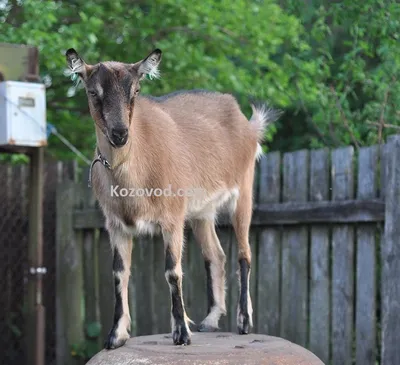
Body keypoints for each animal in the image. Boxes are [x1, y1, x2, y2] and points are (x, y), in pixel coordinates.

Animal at [65, 47, 278, 346]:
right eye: (93, 91)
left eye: (136, 90)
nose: (120, 134)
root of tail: (248, 124)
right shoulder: (116, 224)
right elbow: (119, 273)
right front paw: (116, 335)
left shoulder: (173, 218)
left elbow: (172, 271)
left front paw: (181, 332)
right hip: (202, 213)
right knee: (216, 255)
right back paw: (210, 320)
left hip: (244, 192)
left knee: (244, 255)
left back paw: (243, 321)